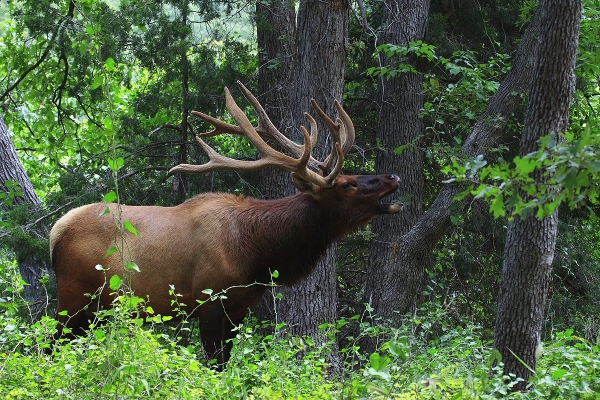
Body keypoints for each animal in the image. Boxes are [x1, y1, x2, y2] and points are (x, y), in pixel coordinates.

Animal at [50, 81, 404, 366]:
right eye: (347, 184)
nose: (392, 176)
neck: (259, 256)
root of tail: (55, 231)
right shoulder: (209, 298)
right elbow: (214, 363)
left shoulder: (239, 308)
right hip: (74, 297)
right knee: (51, 348)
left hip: (100, 309)